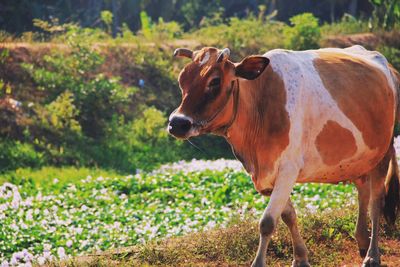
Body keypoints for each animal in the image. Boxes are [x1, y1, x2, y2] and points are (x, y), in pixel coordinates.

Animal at [168, 46, 400, 267]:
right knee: (363, 192)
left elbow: (268, 221)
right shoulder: (268, 175)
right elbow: (288, 215)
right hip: (361, 158)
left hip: (383, 153)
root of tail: (387, 64)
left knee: (376, 201)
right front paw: (301, 258)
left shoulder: (288, 169)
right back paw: (362, 240)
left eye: (214, 81)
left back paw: (372, 255)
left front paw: (258, 263)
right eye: (182, 79)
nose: (176, 123)